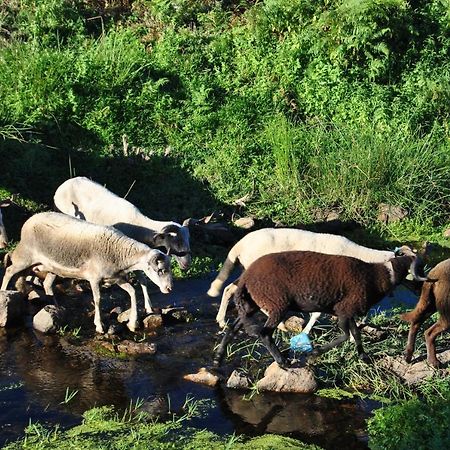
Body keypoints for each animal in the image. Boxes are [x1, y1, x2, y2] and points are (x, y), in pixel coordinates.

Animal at [0, 212, 174, 334]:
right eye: (160, 270)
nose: (169, 289)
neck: (119, 252)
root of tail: (30, 219)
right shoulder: (94, 278)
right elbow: (97, 299)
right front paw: (99, 326)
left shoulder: (115, 278)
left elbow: (132, 291)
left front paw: (133, 323)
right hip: (25, 256)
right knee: (9, 270)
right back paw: (4, 293)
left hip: (47, 266)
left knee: (42, 283)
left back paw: (54, 306)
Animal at [54, 176, 192, 312]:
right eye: (177, 241)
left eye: (188, 239)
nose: (187, 264)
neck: (140, 226)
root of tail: (63, 185)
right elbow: (142, 280)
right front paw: (148, 306)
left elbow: (143, 280)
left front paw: (148, 306)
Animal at [213, 246, 420, 370]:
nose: (420, 291)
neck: (378, 277)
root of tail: (246, 277)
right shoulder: (345, 309)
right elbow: (346, 334)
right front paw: (315, 353)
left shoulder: (348, 312)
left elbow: (356, 333)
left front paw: (363, 356)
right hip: (277, 303)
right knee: (264, 333)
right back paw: (282, 361)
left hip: (253, 304)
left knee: (233, 328)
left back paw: (218, 358)